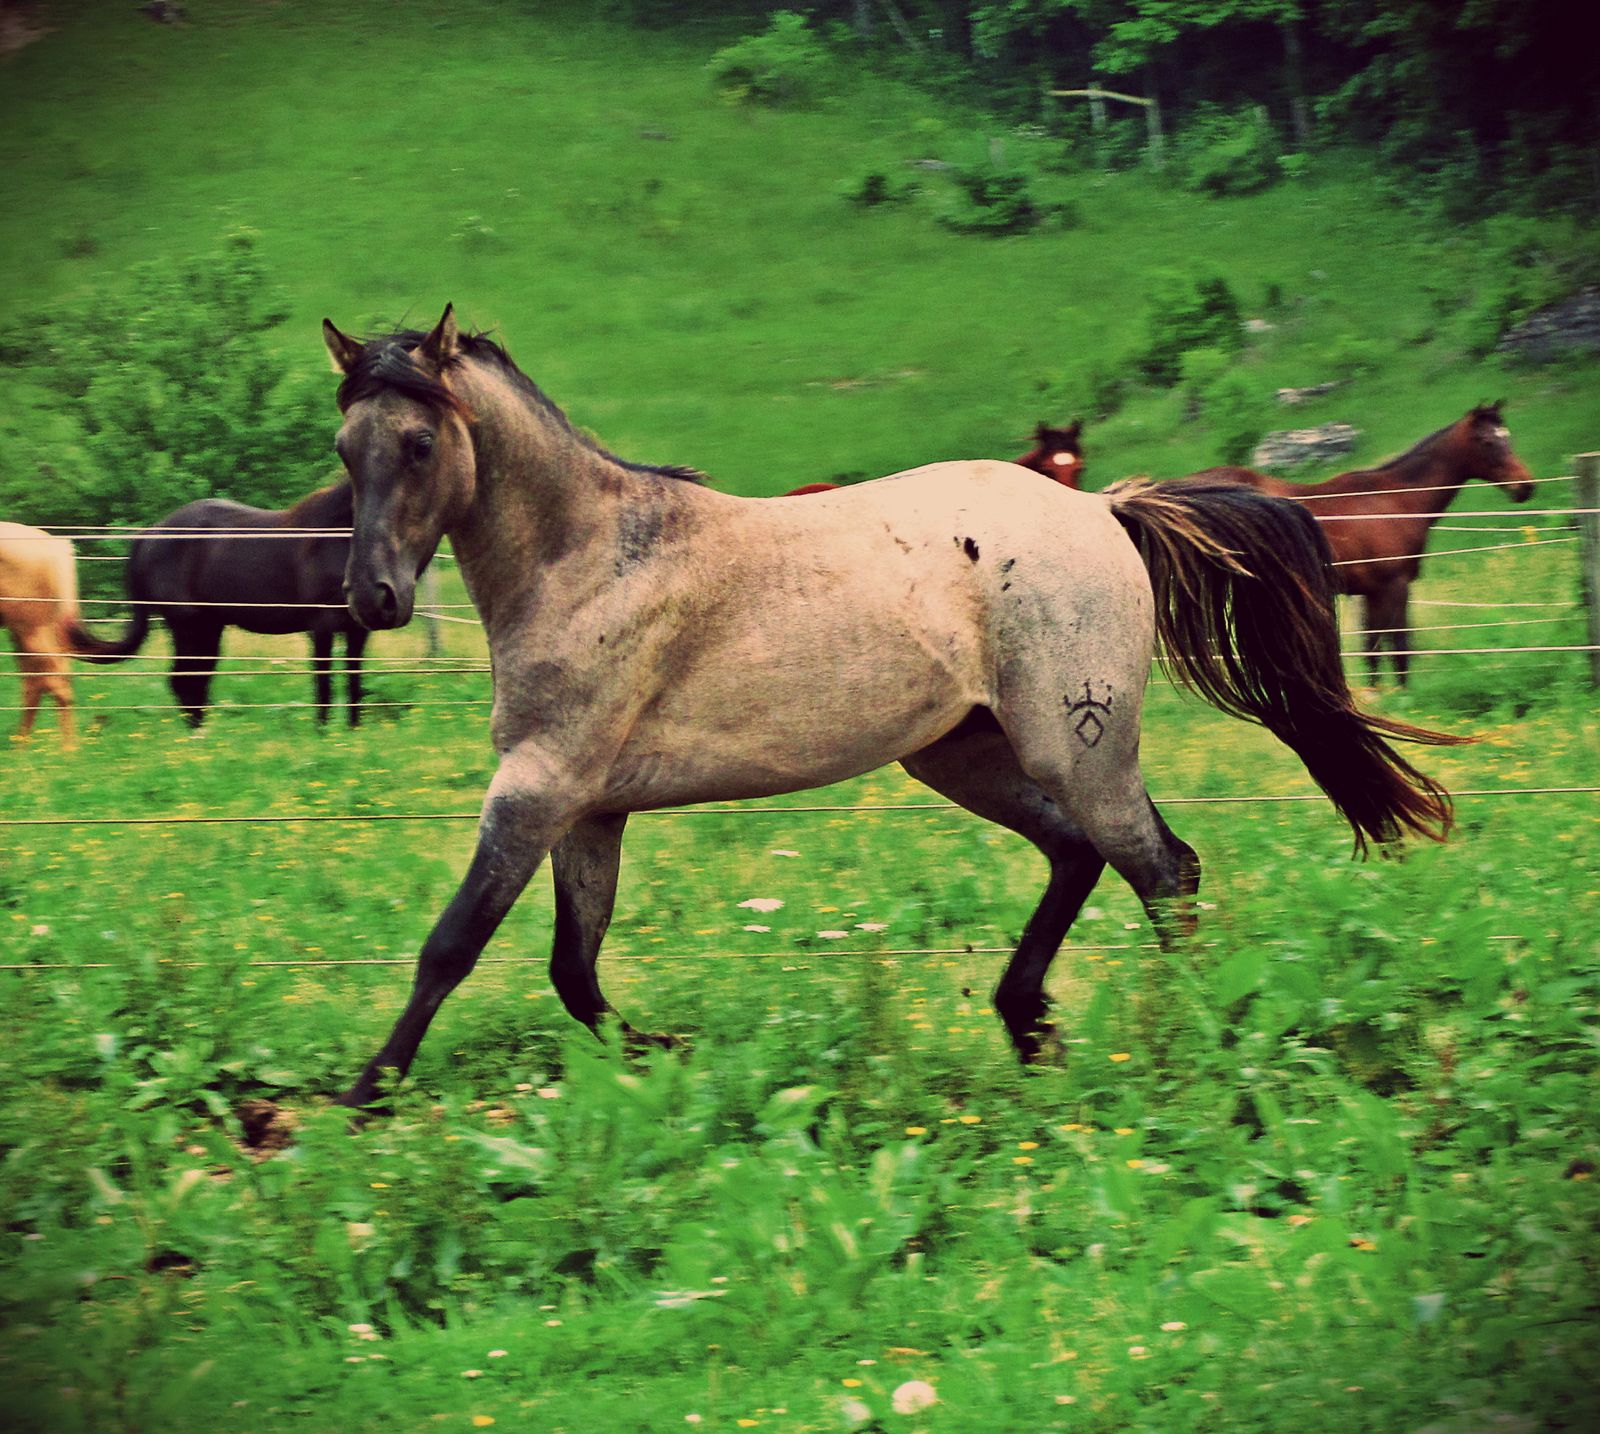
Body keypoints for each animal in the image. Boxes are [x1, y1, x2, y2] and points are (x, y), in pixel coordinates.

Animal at [0, 522, 130, 745]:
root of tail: (51, 545)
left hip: (31, 631)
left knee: (53, 684)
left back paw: (67, 752)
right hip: (27, 633)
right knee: (36, 684)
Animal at [109, 482, 372, 727]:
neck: (334, 537)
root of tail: (151, 532)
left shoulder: (358, 629)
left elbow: (354, 682)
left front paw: (351, 732)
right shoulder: (321, 626)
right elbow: (324, 684)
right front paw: (323, 734)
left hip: (208, 627)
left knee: (198, 681)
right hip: (187, 625)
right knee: (184, 681)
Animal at [320, 306, 1461, 1109]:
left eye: (419, 445)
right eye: (344, 450)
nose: (371, 600)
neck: (593, 560)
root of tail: (1104, 508)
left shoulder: (535, 791)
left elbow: (453, 945)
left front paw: (364, 1098)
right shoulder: (588, 811)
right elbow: (574, 971)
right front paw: (673, 1054)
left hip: (1075, 746)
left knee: (1162, 869)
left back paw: (1182, 1040)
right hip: (964, 755)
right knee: (1081, 857)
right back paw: (1027, 1025)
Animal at [1189, 405, 1535, 685]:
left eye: (1508, 437)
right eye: (1488, 442)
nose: (1526, 486)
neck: (1395, 500)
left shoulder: (1370, 593)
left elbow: (1372, 651)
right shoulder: (1395, 586)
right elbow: (1399, 646)